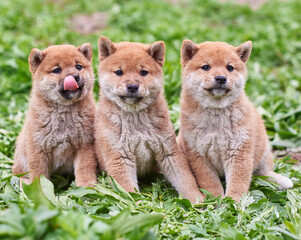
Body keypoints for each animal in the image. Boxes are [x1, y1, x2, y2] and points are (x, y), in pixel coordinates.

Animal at [12, 43, 97, 187]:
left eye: (78, 66)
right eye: (57, 70)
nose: (74, 76)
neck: (64, 113)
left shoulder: (85, 145)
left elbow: (84, 168)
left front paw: (87, 186)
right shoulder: (38, 147)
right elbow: (38, 172)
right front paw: (38, 189)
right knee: (17, 171)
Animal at [95, 36, 203, 202]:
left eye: (143, 72)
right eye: (119, 72)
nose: (133, 86)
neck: (136, 119)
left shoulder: (168, 152)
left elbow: (186, 180)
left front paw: (197, 199)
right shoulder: (120, 157)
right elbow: (128, 190)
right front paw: (138, 204)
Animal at [177, 40, 292, 202]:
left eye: (229, 67)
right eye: (206, 67)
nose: (220, 78)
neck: (216, 115)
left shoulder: (239, 152)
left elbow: (238, 184)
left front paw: (234, 203)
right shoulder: (198, 154)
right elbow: (210, 183)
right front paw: (216, 200)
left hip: (263, 150)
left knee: (264, 172)